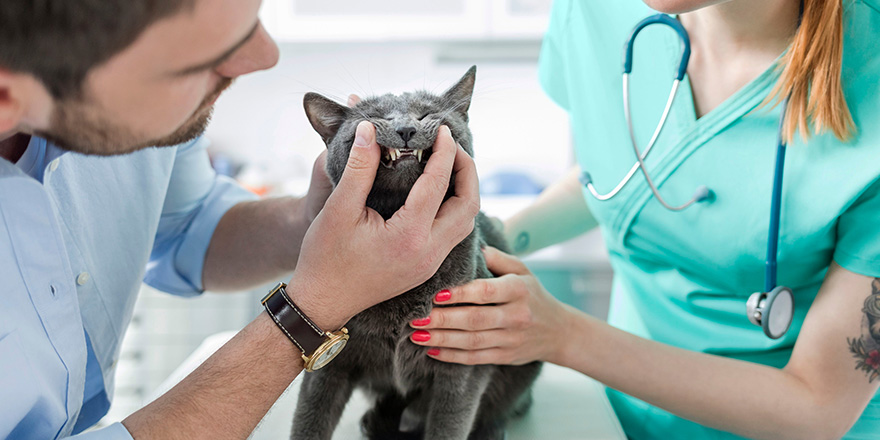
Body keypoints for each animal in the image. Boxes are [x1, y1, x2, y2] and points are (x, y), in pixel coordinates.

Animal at [294, 66, 544, 440]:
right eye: (377, 118)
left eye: (425, 114)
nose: (406, 129)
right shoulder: (328, 360)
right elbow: (309, 420)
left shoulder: (464, 363)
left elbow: (448, 424)